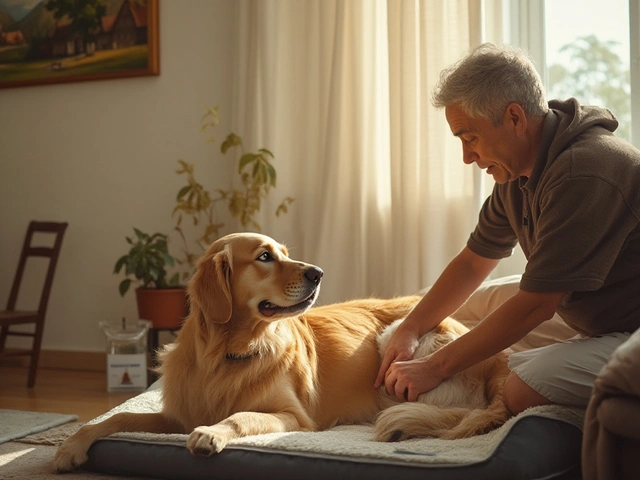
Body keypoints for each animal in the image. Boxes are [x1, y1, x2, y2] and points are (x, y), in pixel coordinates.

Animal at [52, 232, 508, 472]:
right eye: (264, 257)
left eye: (284, 253)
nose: (318, 273)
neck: (226, 354)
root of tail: (499, 366)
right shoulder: (177, 414)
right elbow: (116, 418)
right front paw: (71, 446)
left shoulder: (292, 416)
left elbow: (239, 416)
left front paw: (211, 434)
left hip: (398, 342)